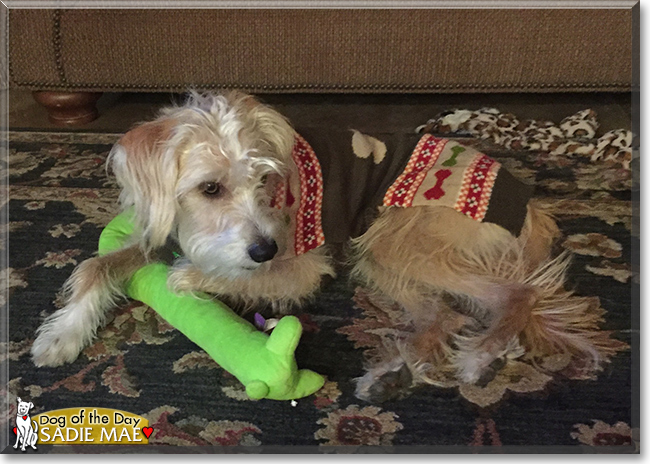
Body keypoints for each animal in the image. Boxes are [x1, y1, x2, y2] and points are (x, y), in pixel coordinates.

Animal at [30, 91, 608, 402]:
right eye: (210, 188)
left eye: (267, 180)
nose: (265, 249)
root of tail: (532, 208)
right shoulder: (163, 234)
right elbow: (95, 266)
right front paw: (62, 335)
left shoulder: (301, 265)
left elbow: (209, 273)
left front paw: (191, 277)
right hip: (382, 256)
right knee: (443, 315)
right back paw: (395, 375)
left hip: (398, 238)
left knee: (514, 294)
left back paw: (483, 356)